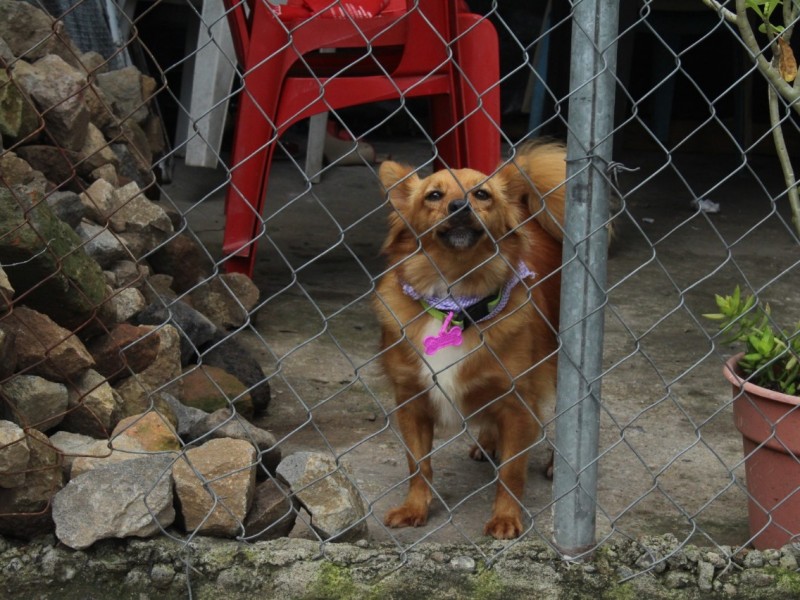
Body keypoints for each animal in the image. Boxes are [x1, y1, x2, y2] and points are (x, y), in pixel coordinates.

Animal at [372, 141, 564, 540]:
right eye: (433, 195)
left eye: (481, 194)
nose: (459, 206)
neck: (456, 298)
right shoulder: (411, 401)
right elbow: (418, 464)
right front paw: (415, 508)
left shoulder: (518, 402)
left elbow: (512, 471)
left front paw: (506, 518)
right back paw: (488, 442)